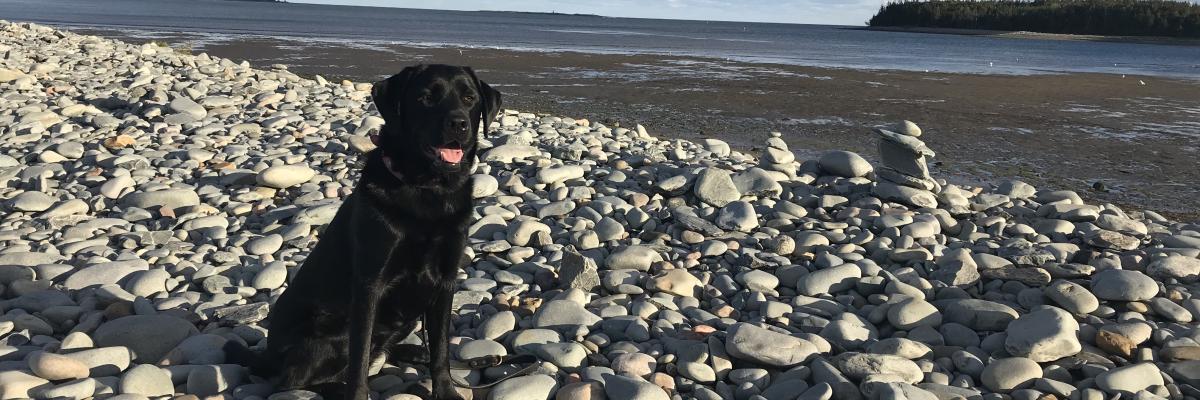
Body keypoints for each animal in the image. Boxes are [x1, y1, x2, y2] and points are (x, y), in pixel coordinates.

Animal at [226, 63, 499, 396]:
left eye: (469, 98)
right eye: (425, 98)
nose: (459, 123)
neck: (428, 189)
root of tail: (268, 357)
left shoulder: (444, 283)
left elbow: (442, 349)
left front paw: (446, 391)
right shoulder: (370, 286)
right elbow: (360, 359)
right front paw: (357, 394)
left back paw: (418, 352)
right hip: (327, 330)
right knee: (292, 380)